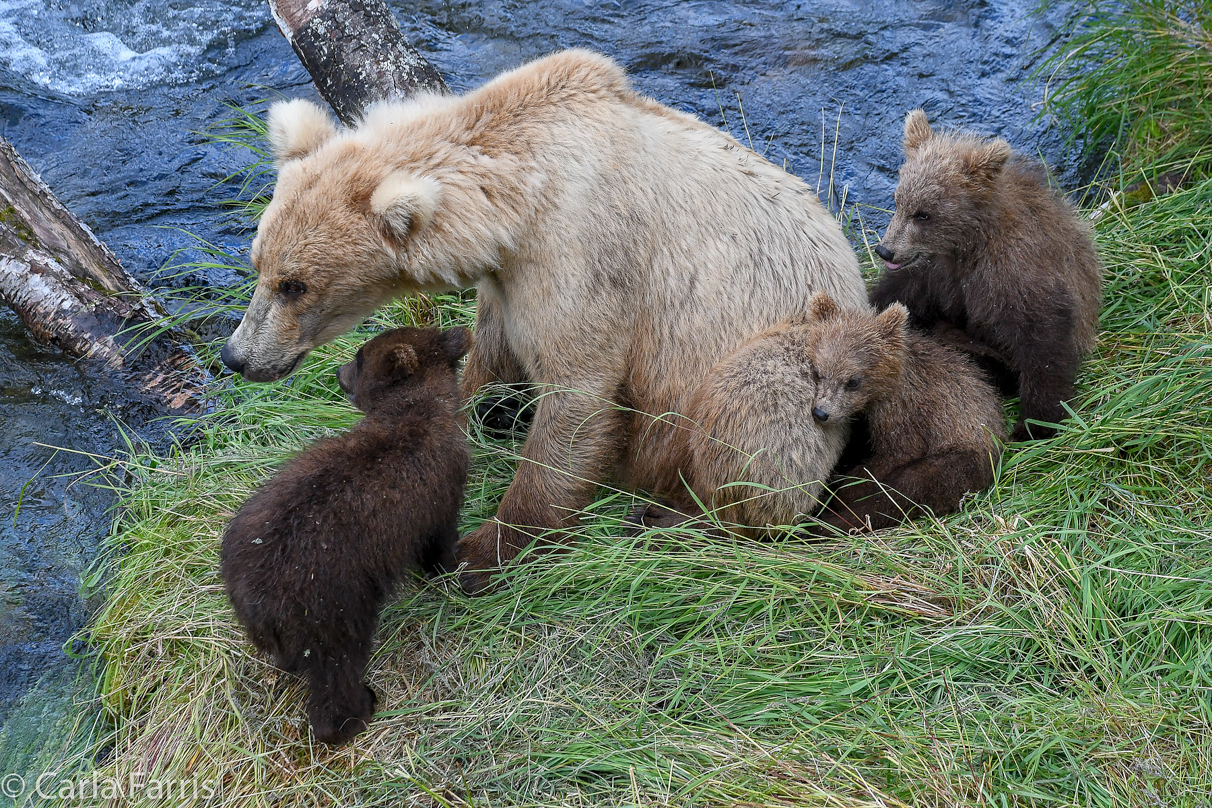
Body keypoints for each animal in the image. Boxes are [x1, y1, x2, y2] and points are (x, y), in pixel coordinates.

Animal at [223, 52, 867, 593]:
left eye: (295, 285)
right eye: (258, 264)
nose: (237, 355)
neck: (516, 201)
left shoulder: (581, 251)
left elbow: (577, 396)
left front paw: (483, 549)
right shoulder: (507, 280)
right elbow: (487, 352)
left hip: (802, 360)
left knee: (747, 428)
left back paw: (669, 516)